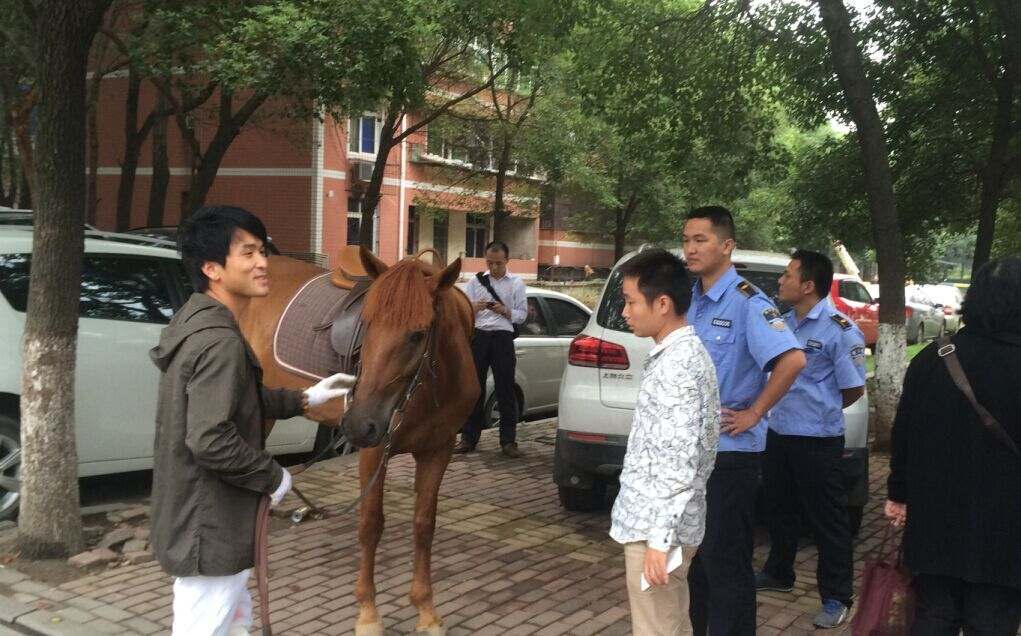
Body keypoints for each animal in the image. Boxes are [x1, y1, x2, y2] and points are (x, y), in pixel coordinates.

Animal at [240, 247, 480, 635]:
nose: (358, 423)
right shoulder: (374, 449)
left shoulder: (438, 450)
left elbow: (424, 524)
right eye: (366, 324)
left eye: (418, 334)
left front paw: (426, 610)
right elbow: (370, 524)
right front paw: (368, 614)